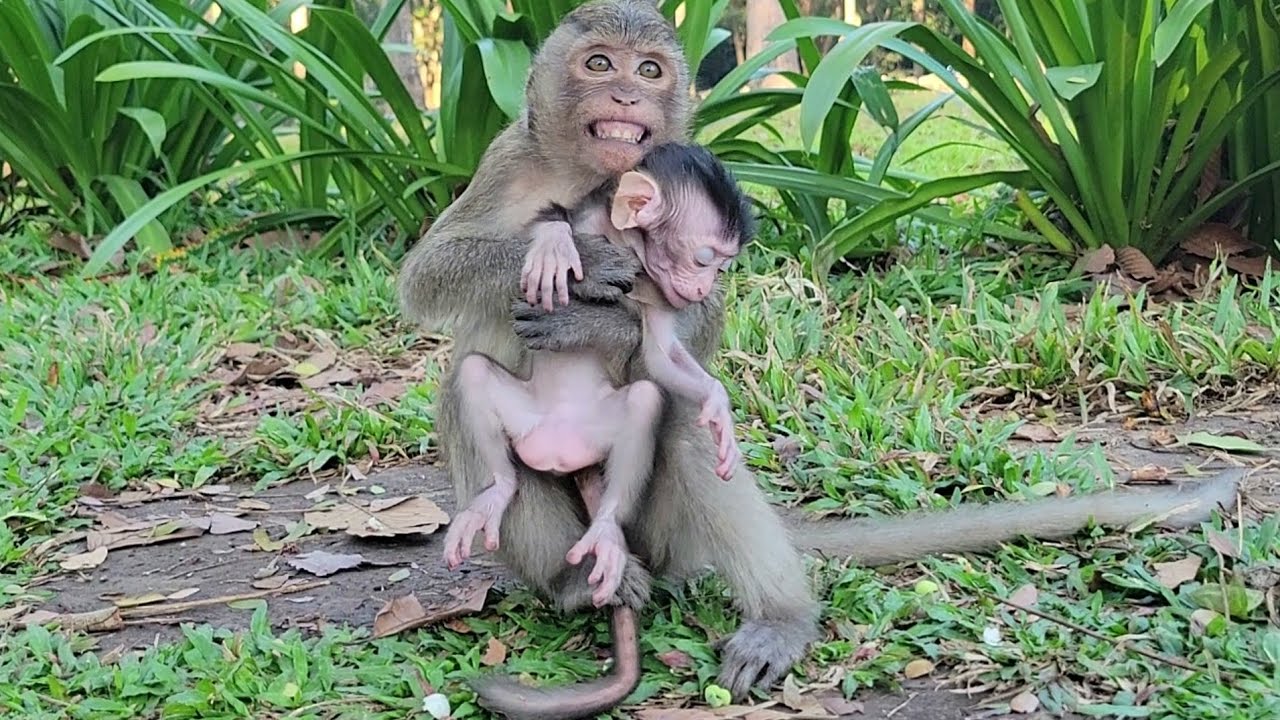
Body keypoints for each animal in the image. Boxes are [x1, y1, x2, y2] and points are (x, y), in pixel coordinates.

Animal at [441, 141, 753, 611]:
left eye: (720, 267)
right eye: (705, 259)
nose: (702, 288)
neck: (623, 243)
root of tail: (556, 449)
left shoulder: (661, 292)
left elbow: (660, 355)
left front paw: (715, 402)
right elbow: (544, 220)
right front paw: (556, 244)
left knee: (645, 400)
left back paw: (605, 529)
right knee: (475, 372)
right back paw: (497, 490)